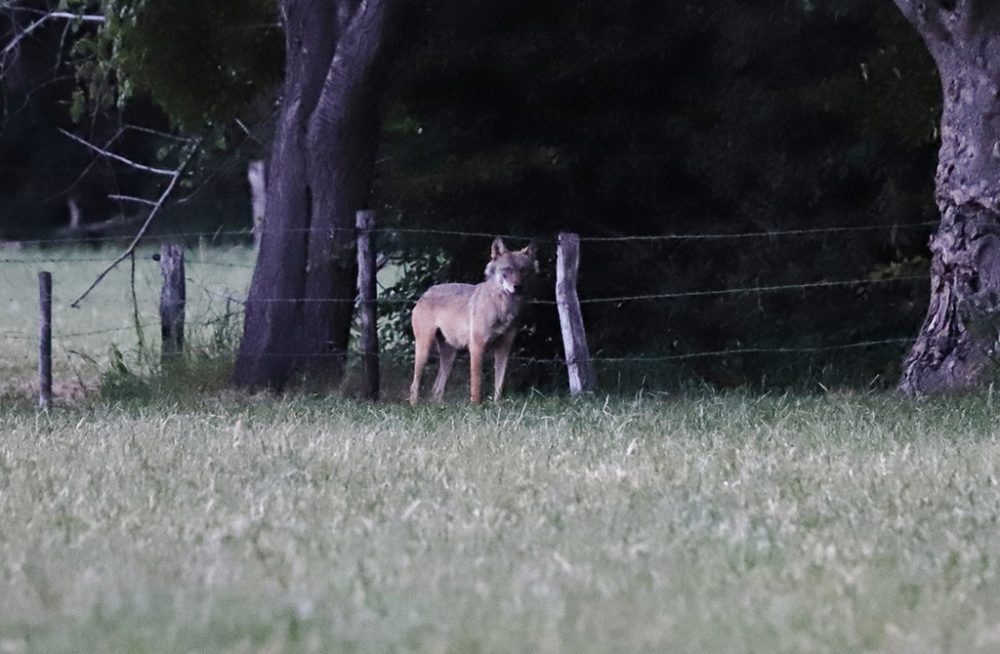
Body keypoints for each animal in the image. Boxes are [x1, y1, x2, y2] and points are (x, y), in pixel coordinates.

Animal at [410, 238, 540, 408]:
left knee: (436, 388)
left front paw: (498, 405)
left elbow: (500, 384)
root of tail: (426, 292)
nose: (517, 287)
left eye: (523, 270)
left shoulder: (504, 348)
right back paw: (414, 406)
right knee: (414, 385)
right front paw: (477, 407)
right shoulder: (477, 347)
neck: (502, 307)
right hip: (424, 350)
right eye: (507, 270)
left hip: (450, 358)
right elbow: (477, 383)